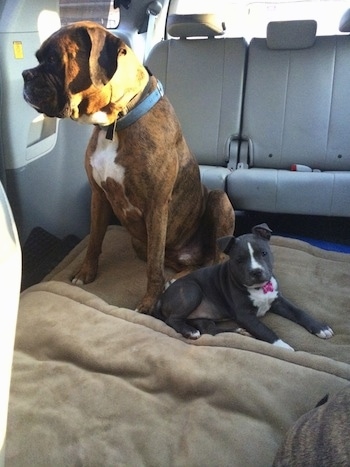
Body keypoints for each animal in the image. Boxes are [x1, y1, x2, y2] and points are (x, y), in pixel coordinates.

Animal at [22, 22, 235, 314]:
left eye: (54, 59)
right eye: (38, 59)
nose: (25, 75)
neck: (115, 123)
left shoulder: (157, 207)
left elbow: (154, 265)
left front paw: (149, 302)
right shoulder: (99, 196)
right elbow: (94, 240)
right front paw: (85, 273)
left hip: (218, 199)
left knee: (216, 258)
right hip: (140, 243)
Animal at [155, 224, 334, 352]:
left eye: (264, 253)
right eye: (239, 260)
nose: (256, 271)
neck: (259, 289)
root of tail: (161, 299)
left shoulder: (278, 300)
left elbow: (299, 312)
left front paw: (321, 328)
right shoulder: (246, 316)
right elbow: (265, 330)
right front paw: (283, 347)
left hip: (202, 317)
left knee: (210, 330)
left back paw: (239, 331)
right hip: (192, 290)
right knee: (173, 319)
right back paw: (189, 331)